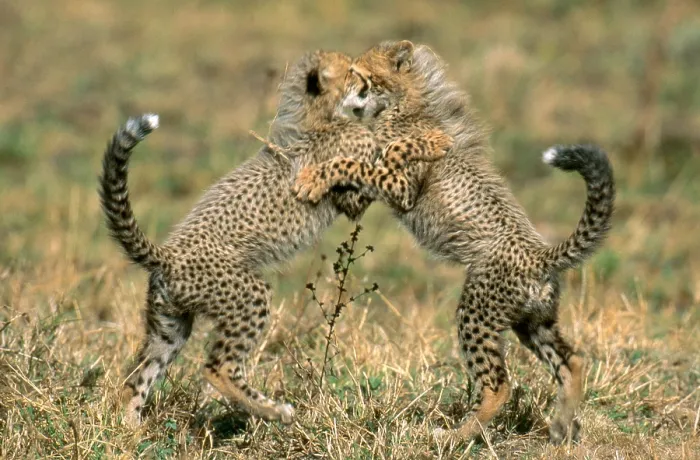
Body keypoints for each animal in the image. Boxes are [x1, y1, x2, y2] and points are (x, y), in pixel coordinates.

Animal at [98, 49, 452, 427]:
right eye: (352, 72)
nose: (367, 85)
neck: (320, 117)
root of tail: (167, 254)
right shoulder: (353, 193)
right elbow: (383, 158)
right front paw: (431, 141)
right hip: (247, 295)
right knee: (217, 368)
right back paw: (275, 410)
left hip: (169, 327)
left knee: (137, 378)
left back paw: (131, 429)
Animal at [292, 40, 615, 445]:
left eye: (360, 74)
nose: (338, 92)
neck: (404, 103)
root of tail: (540, 254)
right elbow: (356, 172)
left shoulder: (400, 187)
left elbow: (356, 163)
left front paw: (312, 177)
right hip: (532, 323)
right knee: (572, 362)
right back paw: (561, 428)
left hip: (476, 314)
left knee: (498, 385)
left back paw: (456, 436)